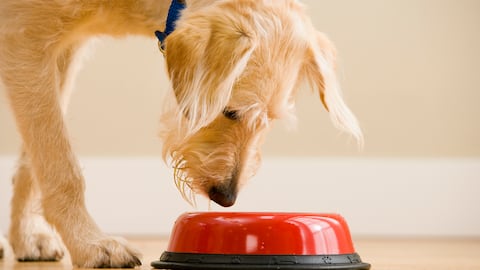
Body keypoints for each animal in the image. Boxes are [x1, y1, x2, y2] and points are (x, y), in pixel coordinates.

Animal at [0, 0, 360, 268]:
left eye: (270, 121)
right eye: (230, 111)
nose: (226, 198)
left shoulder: (60, 50)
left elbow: (34, 159)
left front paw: (26, 237)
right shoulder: (26, 40)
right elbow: (60, 162)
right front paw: (90, 244)